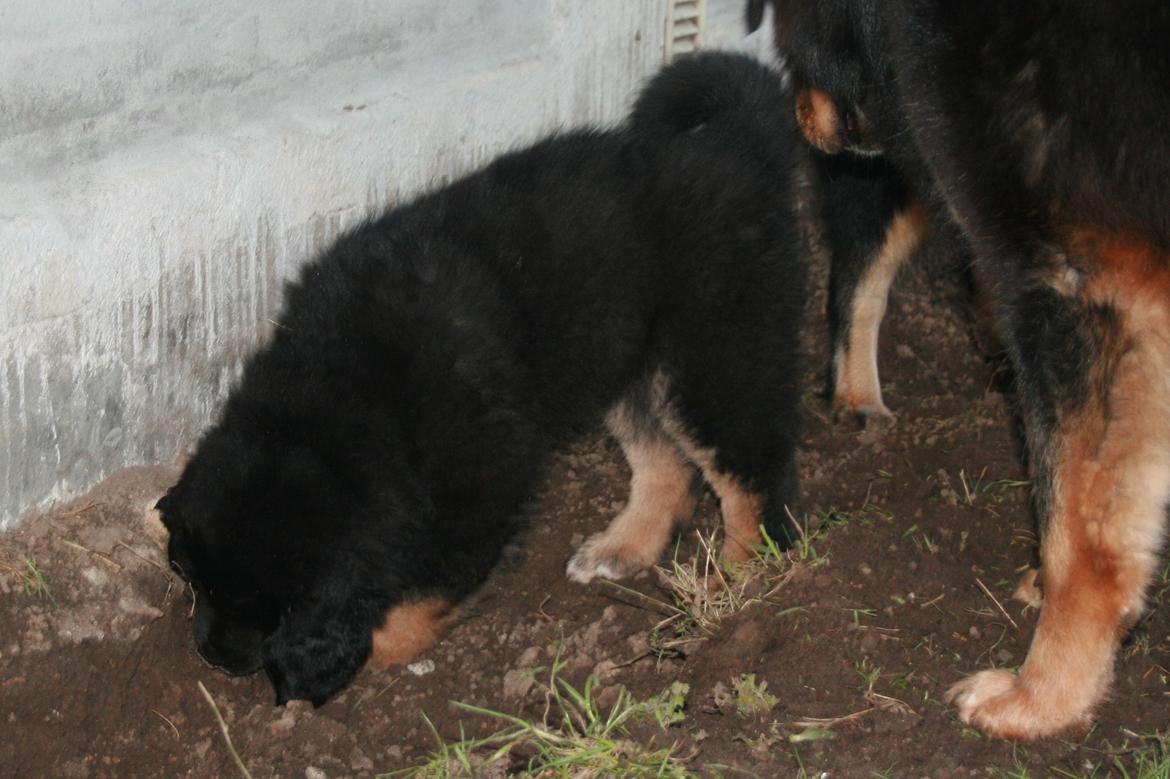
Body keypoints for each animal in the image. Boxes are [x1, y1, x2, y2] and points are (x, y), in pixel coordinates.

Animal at [155, 51, 809, 706]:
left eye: (269, 610)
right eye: (195, 581)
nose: (211, 658)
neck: (339, 397)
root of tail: (732, 148)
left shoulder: (483, 489)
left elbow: (418, 600)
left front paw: (356, 655)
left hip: (713, 352)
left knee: (752, 474)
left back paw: (738, 582)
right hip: (630, 363)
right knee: (669, 468)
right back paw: (621, 550)